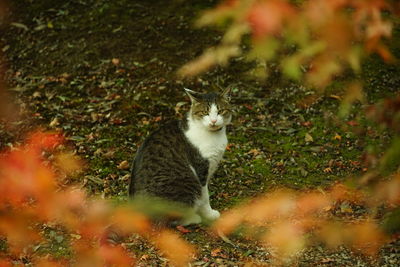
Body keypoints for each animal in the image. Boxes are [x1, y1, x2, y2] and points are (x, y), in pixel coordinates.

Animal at [130, 88, 233, 226]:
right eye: (205, 112)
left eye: (220, 111)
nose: (213, 121)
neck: (213, 135)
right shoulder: (201, 170)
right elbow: (205, 197)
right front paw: (210, 214)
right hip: (186, 183)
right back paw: (194, 218)